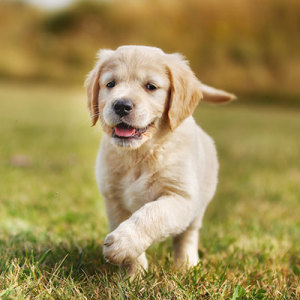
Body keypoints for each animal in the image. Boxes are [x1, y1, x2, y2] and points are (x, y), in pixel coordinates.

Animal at [85, 45, 237, 276]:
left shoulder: (181, 197)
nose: (121, 105)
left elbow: (152, 214)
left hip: (198, 207)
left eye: (151, 86)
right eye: (110, 84)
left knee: (187, 236)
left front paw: (123, 242)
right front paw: (134, 275)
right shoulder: (114, 200)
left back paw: (186, 266)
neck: (140, 154)